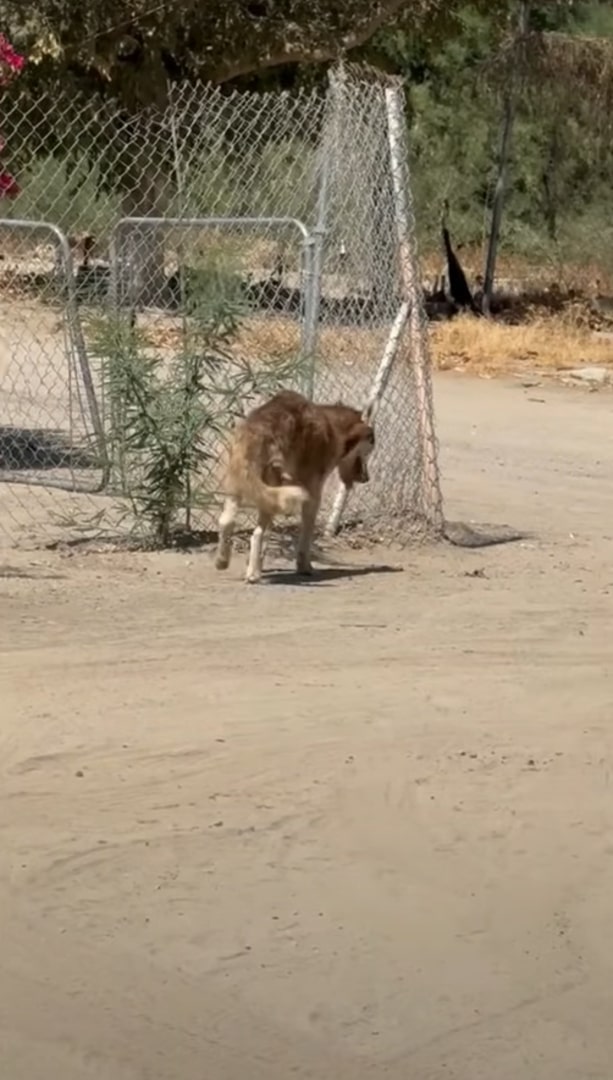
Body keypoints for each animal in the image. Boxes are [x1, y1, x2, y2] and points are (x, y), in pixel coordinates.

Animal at [215, 390, 377, 583]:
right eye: (370, 449)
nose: (367, 478)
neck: (333, 427)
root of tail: (257, 430)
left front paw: (256, 564)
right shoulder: (312, 496)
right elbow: (305, 538)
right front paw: (305, 567)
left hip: (243, 488)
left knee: (227, 522)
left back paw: (223, 561)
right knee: (257, 534)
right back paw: (253, 575)